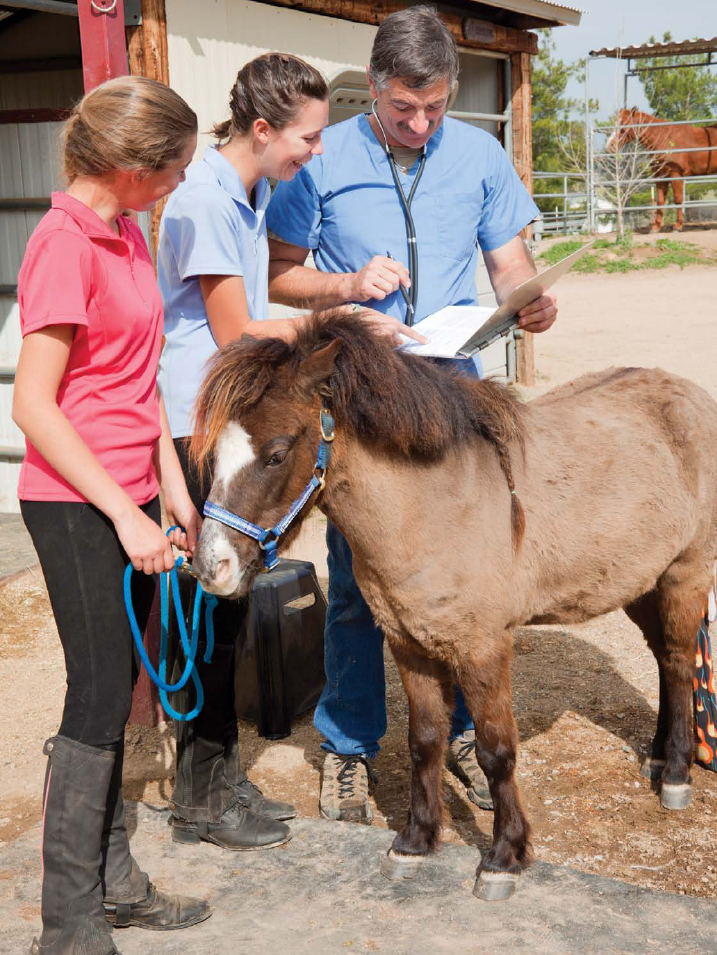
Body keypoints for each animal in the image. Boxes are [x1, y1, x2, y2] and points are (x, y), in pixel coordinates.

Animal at [189, 316, 716, 904]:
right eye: (213, 457)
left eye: (277, 453)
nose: (211, 567)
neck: (433, 508)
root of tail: (690, 395)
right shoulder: (408, 644)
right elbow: (424, 742)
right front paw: (415, 842)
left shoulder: (483, 649)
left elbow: (496, 752)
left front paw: (504, 857)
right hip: (641, 584)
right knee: (665, 662)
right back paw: (658, 756)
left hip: (685, 576)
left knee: (679, 662)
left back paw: (676, 774)